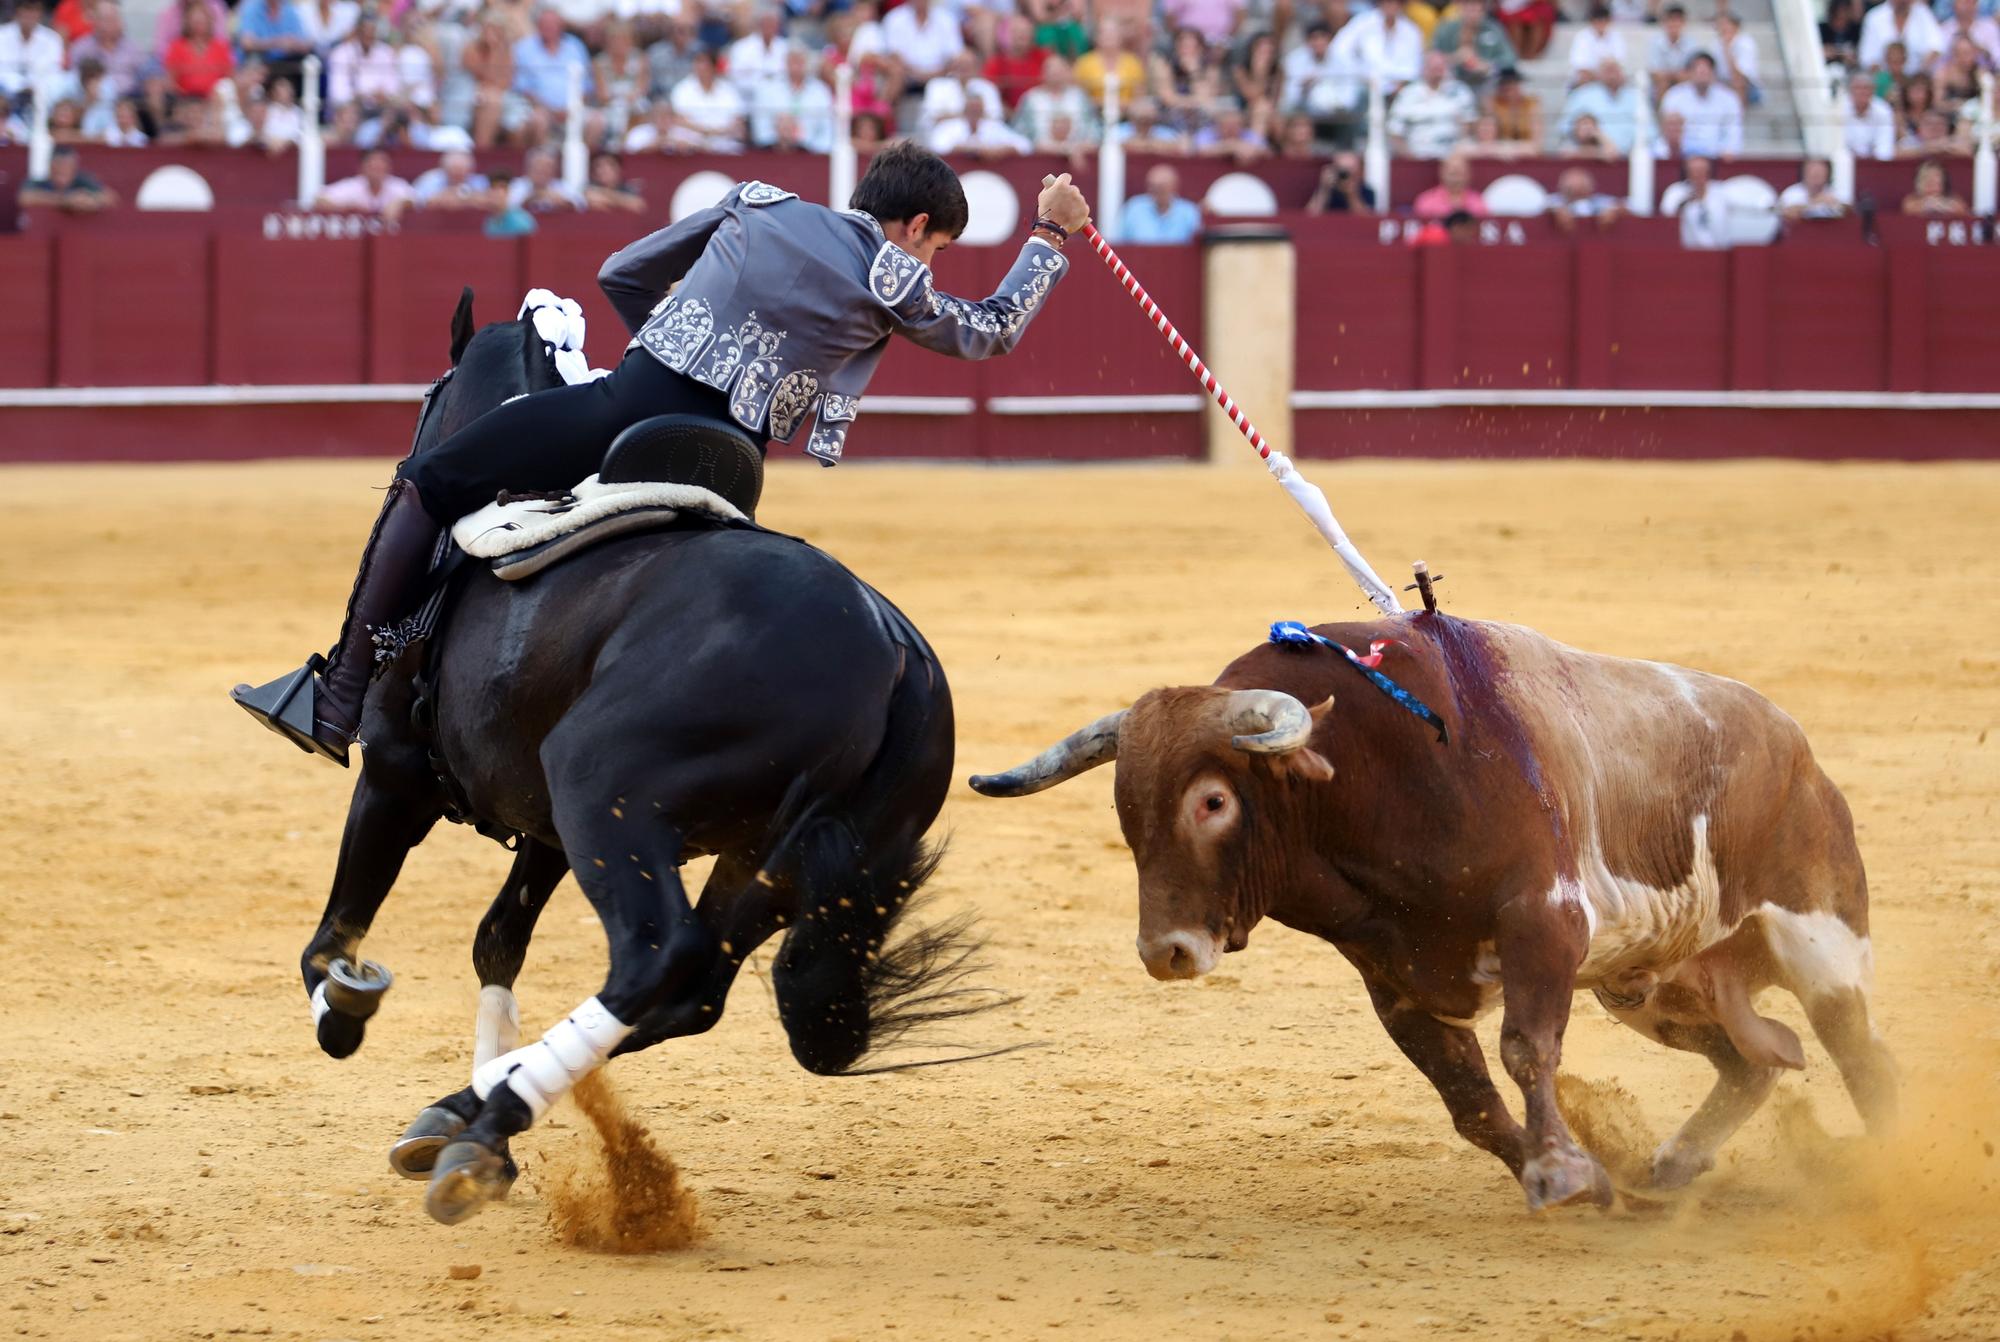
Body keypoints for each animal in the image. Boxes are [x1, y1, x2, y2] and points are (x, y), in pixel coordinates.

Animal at [296, 296, 976, 1232]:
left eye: (429, 393)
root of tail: (893, 652)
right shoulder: (542, 827)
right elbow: (496, 940)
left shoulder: (396, 775)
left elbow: (336, 933)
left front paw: (345, 1006)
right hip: (762, 860)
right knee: (692, 990)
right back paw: (476, 1112)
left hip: (603, 792)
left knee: (656, 958)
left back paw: (486, 1127)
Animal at [976, 616, 1896, 1216]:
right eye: (1125, 805)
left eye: (1212, 801)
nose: (1163, 951)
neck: (1376, 778)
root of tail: (1795, 747)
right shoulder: (1396, 982)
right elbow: (1471, 1103)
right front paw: (1583, 1179)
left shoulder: (1544, 923)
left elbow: (1526, 1050)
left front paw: (1562, 1174)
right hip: (1652, 986)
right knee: (1757, 1060)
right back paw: (1670, 1166)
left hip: (1820, 938)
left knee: (1858, 1055)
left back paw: (1891, 1177)